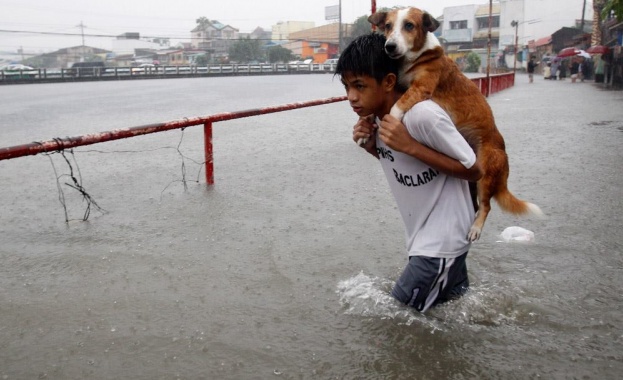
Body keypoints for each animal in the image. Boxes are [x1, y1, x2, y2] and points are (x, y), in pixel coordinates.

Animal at [370, 5, 540, 240]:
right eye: (387, 26)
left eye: (409, 26)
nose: (390, 46)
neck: (417, 57)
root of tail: (504, 158)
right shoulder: (404, 85)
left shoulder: (421, 88)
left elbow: (397, 106)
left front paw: (391, 123)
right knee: (476, 203)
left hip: (484, 175)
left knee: (486, 206)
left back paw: (476, 228)